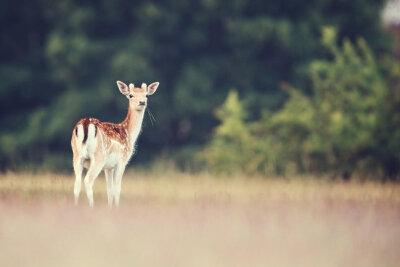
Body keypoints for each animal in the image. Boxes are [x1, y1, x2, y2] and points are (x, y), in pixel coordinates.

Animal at [70, 80, 159, 208]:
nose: (142, 102)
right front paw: (117, 208)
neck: (128, 134)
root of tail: (85, 124)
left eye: (146, 95)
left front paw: (110, 208)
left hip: (77, 156)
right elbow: (117, 189)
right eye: (131, 95)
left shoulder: (109, 167)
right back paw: (91, 207)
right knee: (88, 180)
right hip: (98, 157)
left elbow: (109, 190)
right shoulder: (122, 161)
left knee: (76, 184)